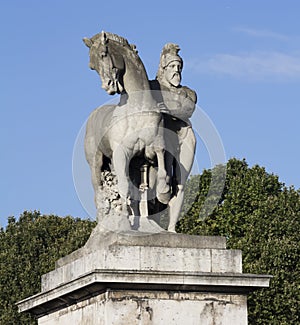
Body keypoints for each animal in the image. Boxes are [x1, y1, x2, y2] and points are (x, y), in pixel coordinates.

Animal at [83, 31, 170, 216]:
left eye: (103, 54)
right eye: (92, 66)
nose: (108, 87)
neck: (137, 107)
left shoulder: (150, 150)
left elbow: (160, 154)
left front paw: (164, 192)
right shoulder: (121, 153)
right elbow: (124, 187)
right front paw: (124, 213)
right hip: (96, 163)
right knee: (98, 191)